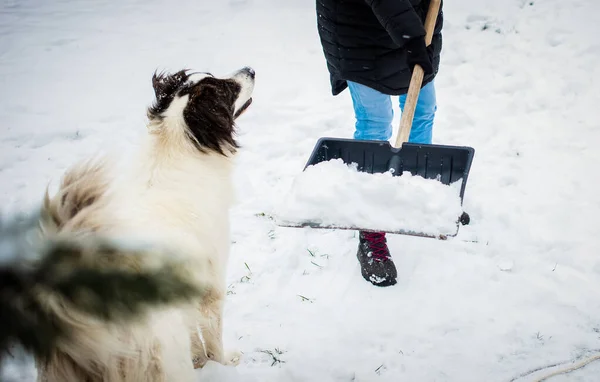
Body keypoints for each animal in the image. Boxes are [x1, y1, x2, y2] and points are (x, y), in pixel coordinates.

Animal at [0, 66, 254, 382]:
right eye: (227, 88)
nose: (250, 70)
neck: (177, 146)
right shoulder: (212, 283)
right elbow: (212, 336)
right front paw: (223, 363)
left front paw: (200, 361)